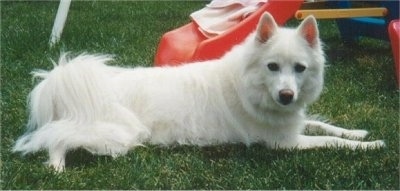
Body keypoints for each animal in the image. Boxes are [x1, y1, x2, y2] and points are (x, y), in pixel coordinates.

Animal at [12, 13, 384, 172]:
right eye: (273, 67)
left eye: (299, 69)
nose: (286, 97)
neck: (248, 86)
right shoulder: (284, 143)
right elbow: (330, 141)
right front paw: (372, 145)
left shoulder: (292, 123)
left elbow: (325, 125)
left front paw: (360, 131)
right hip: (117, 136)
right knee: (54, 138)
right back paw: (56, 166)